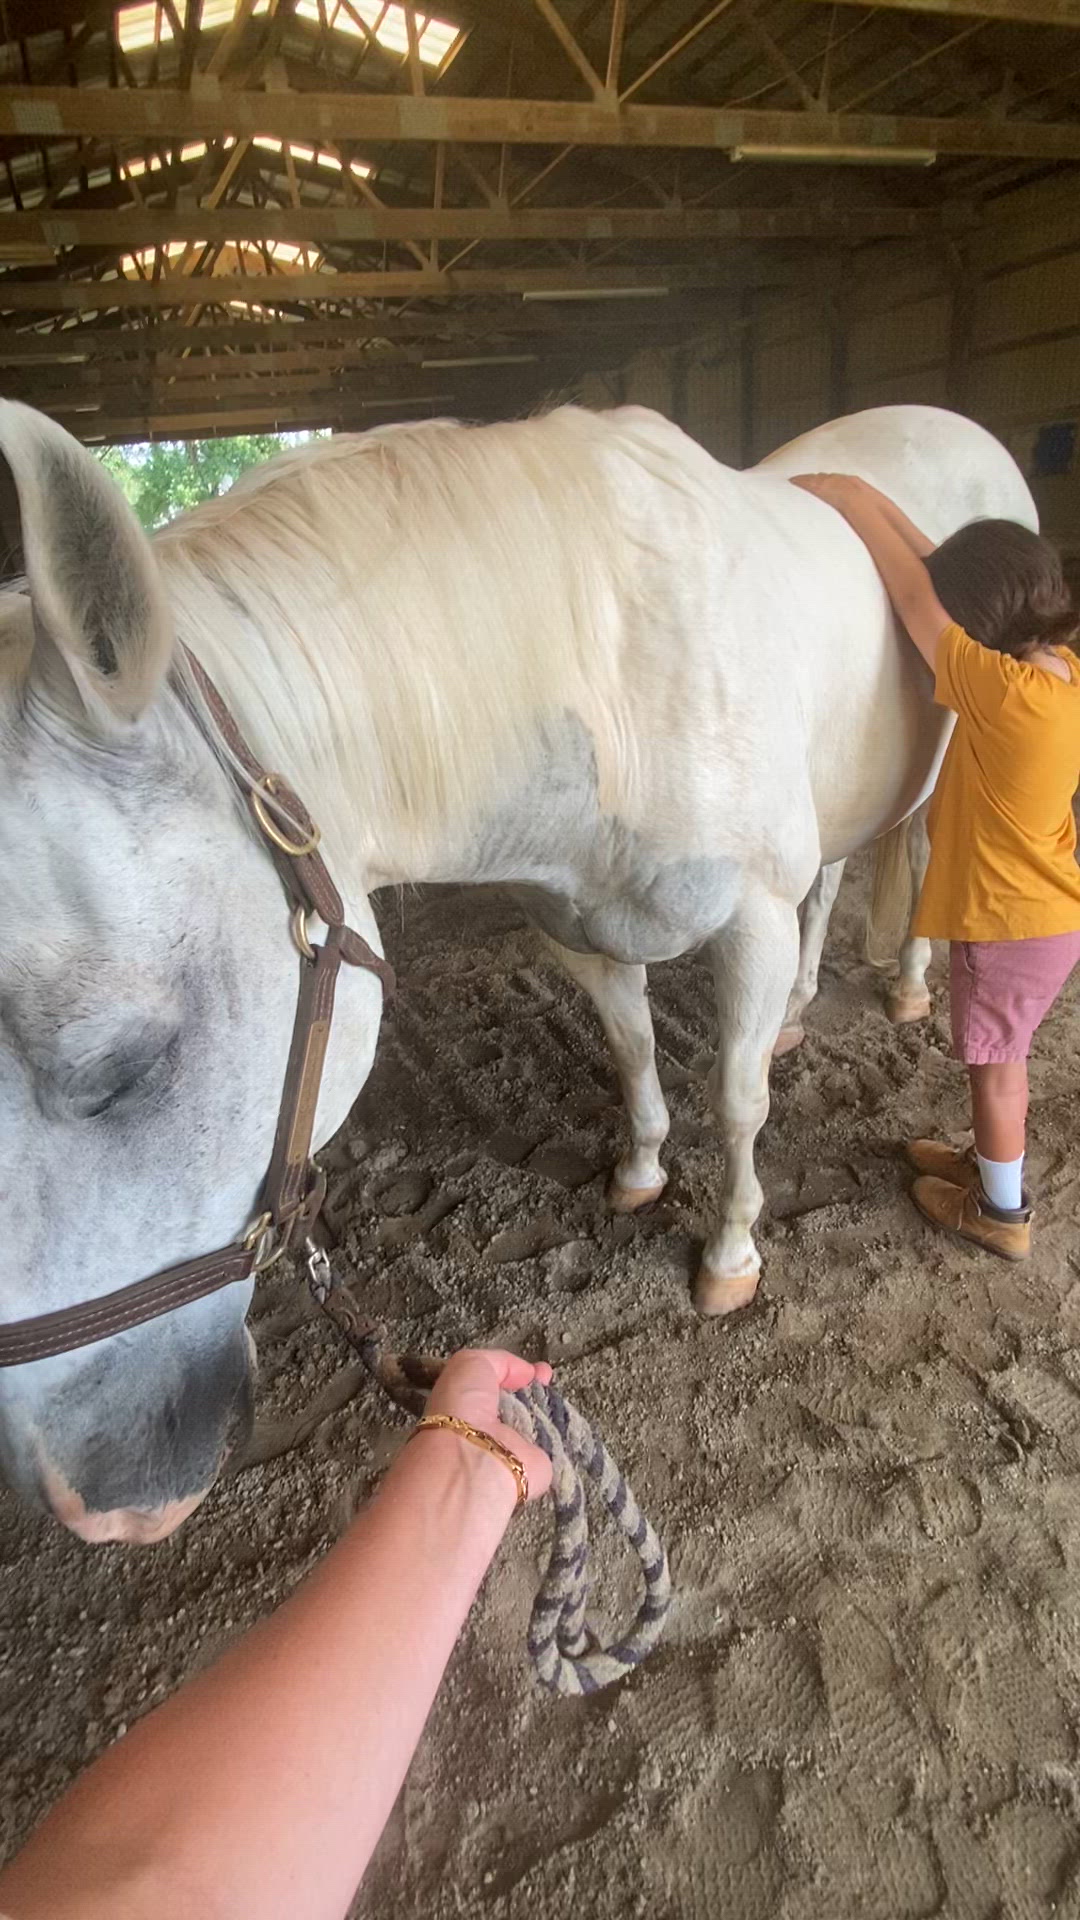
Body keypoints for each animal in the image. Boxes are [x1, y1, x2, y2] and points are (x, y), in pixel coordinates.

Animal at [0, 401, 1030, 1543]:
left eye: (118, 1070)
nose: (98, 1505)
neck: (611, 664)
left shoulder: (749, 919)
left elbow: (738, 1098)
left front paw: (730, 1257)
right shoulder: (576, 927)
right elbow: (633, 1053)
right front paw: (640, 1173)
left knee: (924, 861)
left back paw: (906, 985)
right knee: (839, 872)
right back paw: (806, 1006)